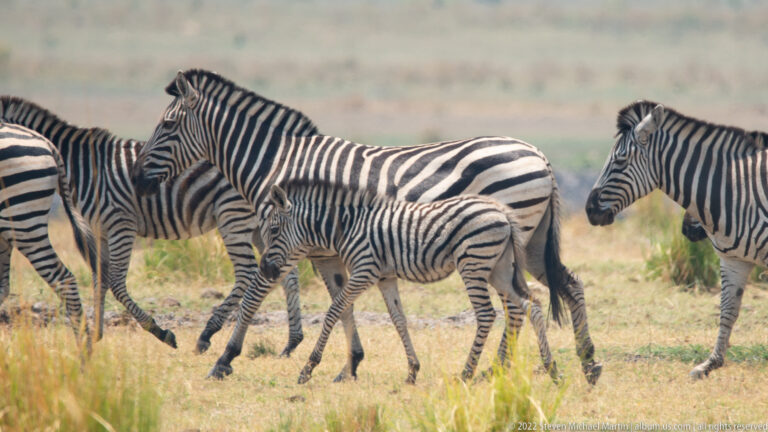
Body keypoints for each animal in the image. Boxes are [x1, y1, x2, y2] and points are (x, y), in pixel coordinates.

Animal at [259, 181, 559, 384]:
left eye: (273, 230)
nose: (263, 268)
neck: (347, 226)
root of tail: (502, 212)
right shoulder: (385, 277)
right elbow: (398, 319)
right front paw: (412, 371)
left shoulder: (365, 271)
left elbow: (334, 311)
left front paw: (308, 368)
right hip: (499, 269)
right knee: (531, 306)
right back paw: (551, 368)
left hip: (473, 263)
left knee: (487, 314)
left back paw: (466, 373)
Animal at [586, 99, 768, 379]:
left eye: (620, 160)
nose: (589, 210)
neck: (737, 190)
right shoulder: (734, 259)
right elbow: (727, 310)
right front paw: (710, 364)